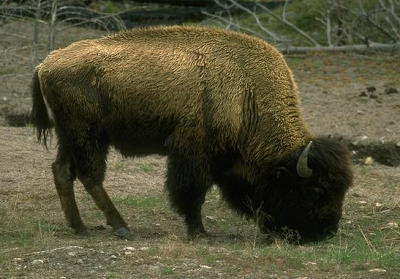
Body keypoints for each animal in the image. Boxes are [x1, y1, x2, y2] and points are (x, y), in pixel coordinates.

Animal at [30, 25, 354, 242]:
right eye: (316, 190)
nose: (327, 231)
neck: (247, 92)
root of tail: (46, 63)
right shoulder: (193, 152)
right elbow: (192, 192)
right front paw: (199, 232)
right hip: (88, 134)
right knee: (89, 175)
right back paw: (121, 226)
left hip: (71, 136)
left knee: (62, 171)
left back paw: (80, 227)